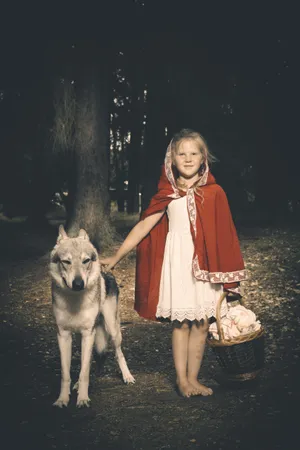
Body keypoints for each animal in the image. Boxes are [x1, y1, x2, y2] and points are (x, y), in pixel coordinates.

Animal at [49, 225, 134, 408]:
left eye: (86, 261)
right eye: (66, 262)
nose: (78, 284)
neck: (75, 301)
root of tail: (106, 272)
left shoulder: (88, 333)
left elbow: (84, 371)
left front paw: (82, 399)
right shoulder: (63, 335)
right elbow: (66, 373)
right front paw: (62, 399)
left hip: (112, 330)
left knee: (118, 353)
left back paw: (127, 376)